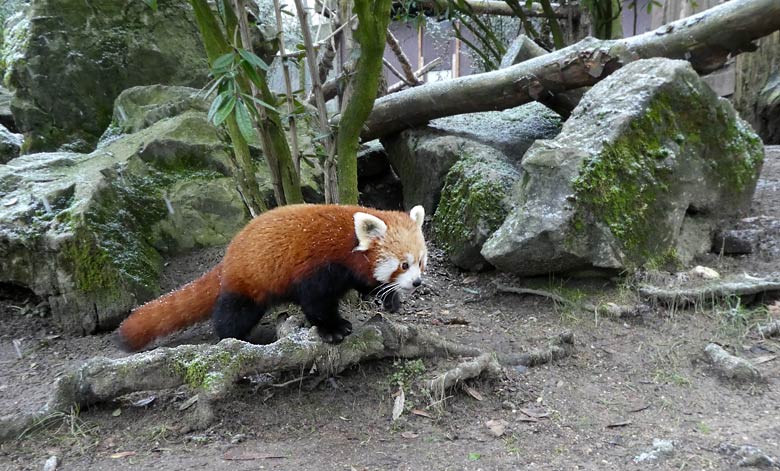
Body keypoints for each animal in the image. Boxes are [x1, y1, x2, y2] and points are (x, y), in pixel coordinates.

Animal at [116, 205, 426, 352]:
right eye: (403, 264)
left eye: (421, 262)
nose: (417, 283)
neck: (345, 243)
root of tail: (229, 256)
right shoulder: (317, 269)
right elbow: (316, 303)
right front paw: (333, 328)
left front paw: (390, 299)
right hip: (249, 284)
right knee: (233, 314)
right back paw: (233, 337)